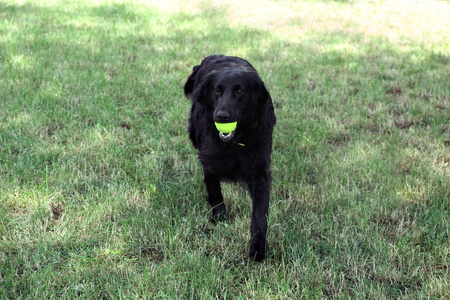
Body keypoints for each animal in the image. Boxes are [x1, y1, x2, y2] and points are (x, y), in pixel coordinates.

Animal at [185, 55, 276, 262]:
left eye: (240, 91)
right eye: (217, 90)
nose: (221, 116)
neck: (235, 141)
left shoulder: (260, 172)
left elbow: (259, 214)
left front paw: (257, 248)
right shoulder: (209, 161)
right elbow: (215, 192)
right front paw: (220, 218)